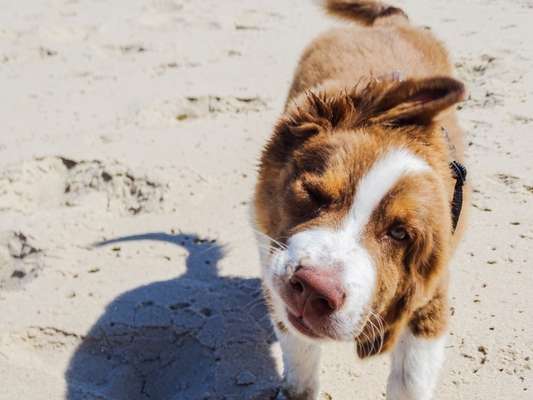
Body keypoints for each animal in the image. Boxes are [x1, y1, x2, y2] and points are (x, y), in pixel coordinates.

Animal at [251, 0, 468, 400]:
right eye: (313, 193)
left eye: (400, 234)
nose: (313, 291)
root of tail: (390, 21)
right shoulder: (273, 266)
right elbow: (298, 349)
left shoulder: (430, 299)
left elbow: (411, 380)